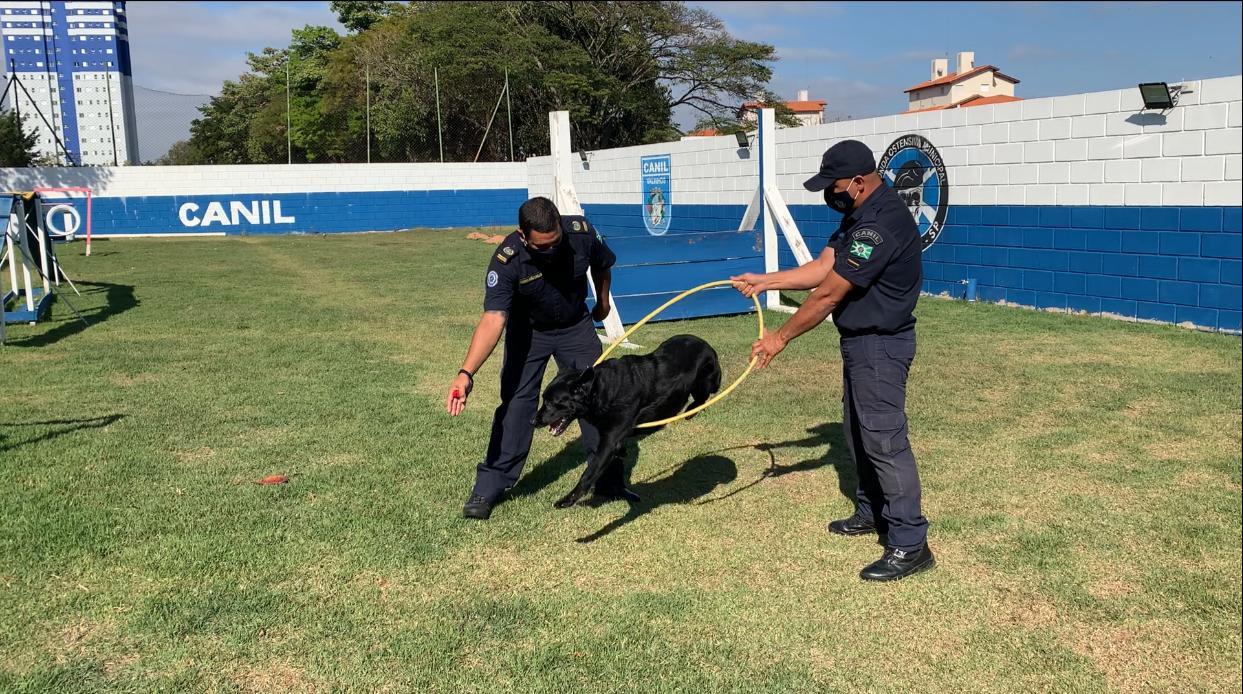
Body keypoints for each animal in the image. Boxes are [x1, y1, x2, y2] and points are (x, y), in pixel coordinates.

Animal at [532, 335, 725, 509]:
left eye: (551, 402)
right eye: (544, 399)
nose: (533, 420)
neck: (602, 390)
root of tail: (707, 345)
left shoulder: (609, 442)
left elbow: (589, 473)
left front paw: (568, 500)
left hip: (703, 381)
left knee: (705, 395)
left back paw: (690, 411)